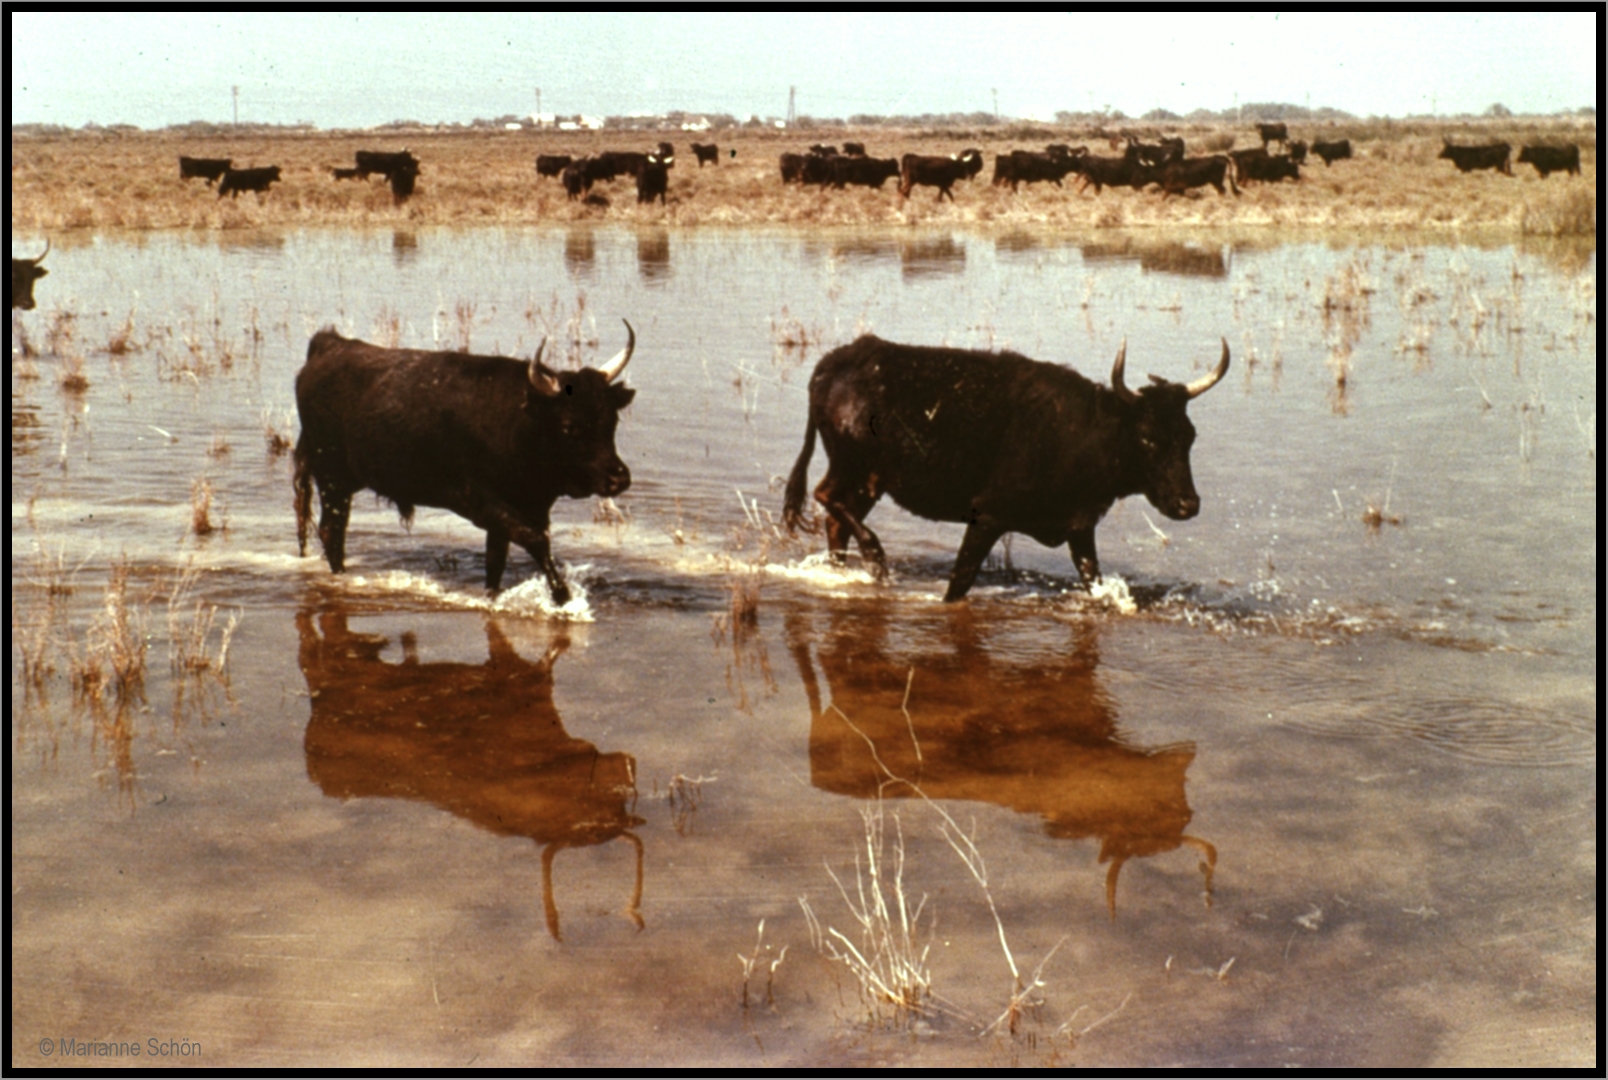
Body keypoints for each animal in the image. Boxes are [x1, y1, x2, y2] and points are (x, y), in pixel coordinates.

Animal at [295, 321, 639, 607]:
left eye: (611, 420)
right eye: (569, 426)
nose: (618, 478)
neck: (520, 420)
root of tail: (330, 344)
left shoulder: (524, 510)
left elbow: (496, 561)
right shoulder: (481, 503)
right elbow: (537, 542)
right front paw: (563, 596)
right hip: (331, 479)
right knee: (331, 532)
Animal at [784, 332, 1222, 604]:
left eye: (1190, 436)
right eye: (1147, 437)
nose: (1188, 504)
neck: (1085, 430)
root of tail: (835, 362)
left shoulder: (1079, 529)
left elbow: (1094, 583)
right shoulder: (987, 517)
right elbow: (958, 585)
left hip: (871, 481)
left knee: (837, 520)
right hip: (850, 464)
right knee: (826, 497)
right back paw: (875, 557)